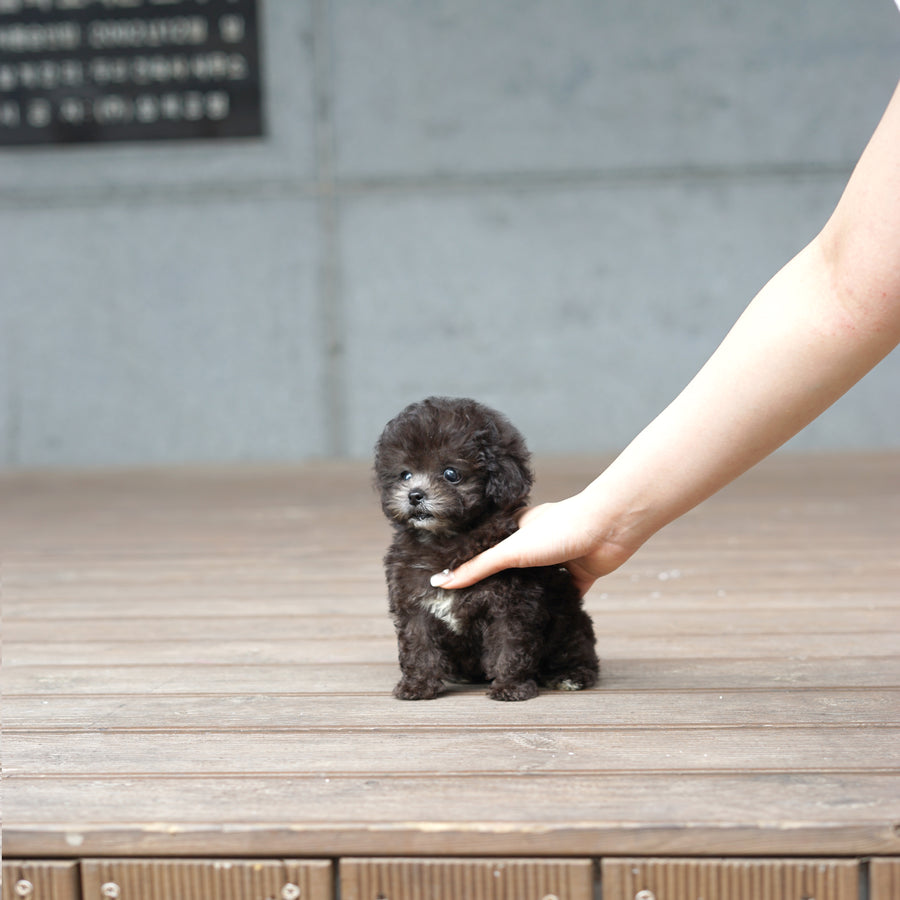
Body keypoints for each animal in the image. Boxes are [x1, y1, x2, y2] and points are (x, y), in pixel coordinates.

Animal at [372, 398, 596, 700]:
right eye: (404, 474)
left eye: (451, 474)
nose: (414, 495)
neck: (446, 538)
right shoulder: (412, 601)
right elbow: (418, 647)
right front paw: (417, 685)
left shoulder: (511, 604)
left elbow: (510, 647)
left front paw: (510, 687)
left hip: (568, 621)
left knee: (577, 650)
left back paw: (570, 675)